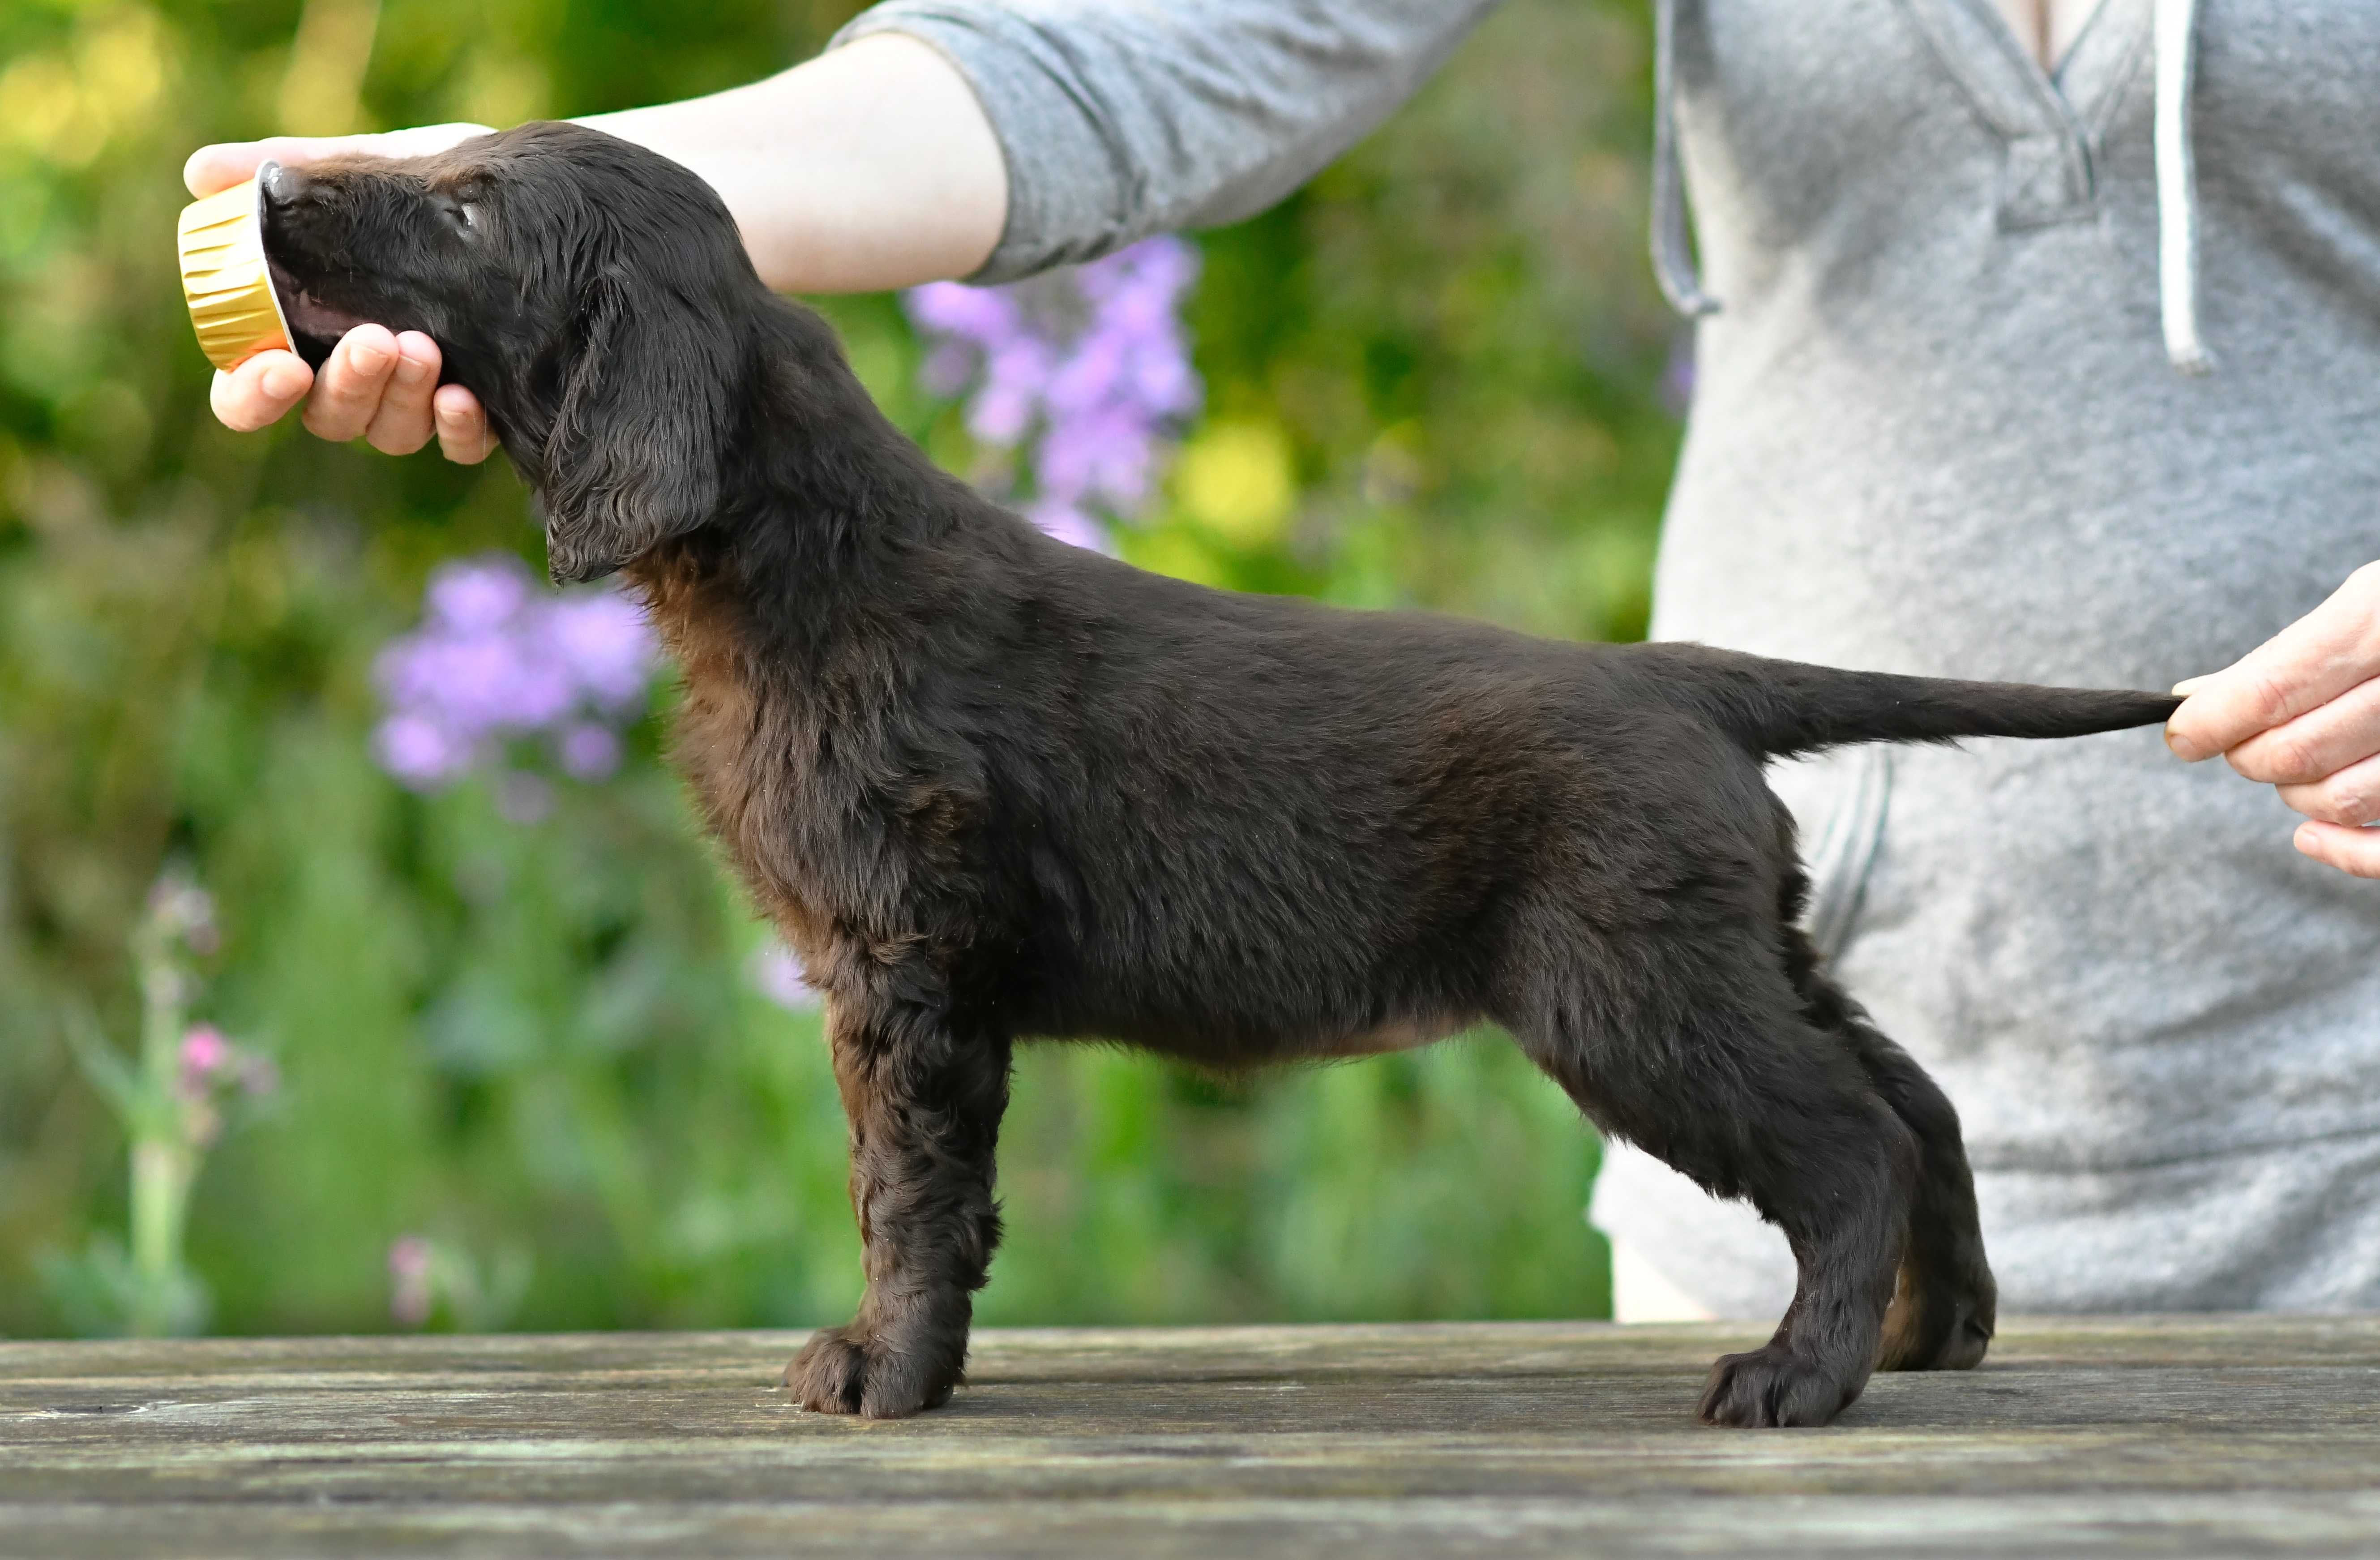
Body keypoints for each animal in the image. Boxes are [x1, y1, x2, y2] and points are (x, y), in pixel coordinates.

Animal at [256, 125, 2180, 1429]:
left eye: (462, 205)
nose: (267, 189)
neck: (794, 559)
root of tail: (1682, 679)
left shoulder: (904, 964)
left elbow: (904, 1190)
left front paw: (884, 1368)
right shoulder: (930, 983)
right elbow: (950, 1199)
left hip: (1629, 989)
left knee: (1848, 1137)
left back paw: (1796, 1376)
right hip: (1733, 943)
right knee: (1914, 1100)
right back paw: (1938, 1332)